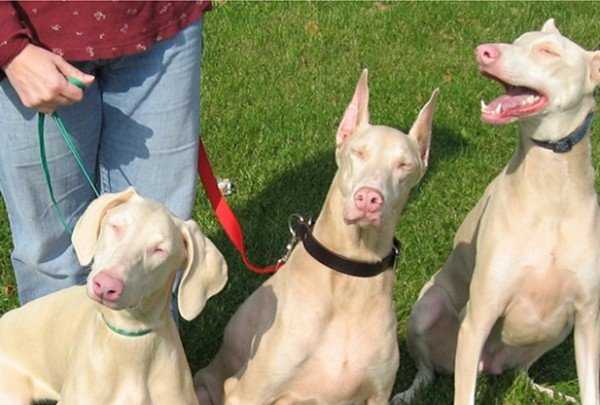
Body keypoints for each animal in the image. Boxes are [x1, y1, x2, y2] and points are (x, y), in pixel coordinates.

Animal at [194, 69, 438, 405]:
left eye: (404, 165)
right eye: (358, 152)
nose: (368, 199)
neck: (351, 272)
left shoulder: (378, 394)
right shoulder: (248, 392)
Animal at [393, 19, 600, 405]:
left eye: (548, 51)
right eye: (518, 41)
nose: (483, 51)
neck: (552, 190)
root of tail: (489, 365)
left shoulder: (587, 319)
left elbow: (592, 388)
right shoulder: (480, 316)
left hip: (557, 329)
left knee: (522, 370)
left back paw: (548, 390)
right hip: (429, 309)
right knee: (427, 369)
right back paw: (409, 392)